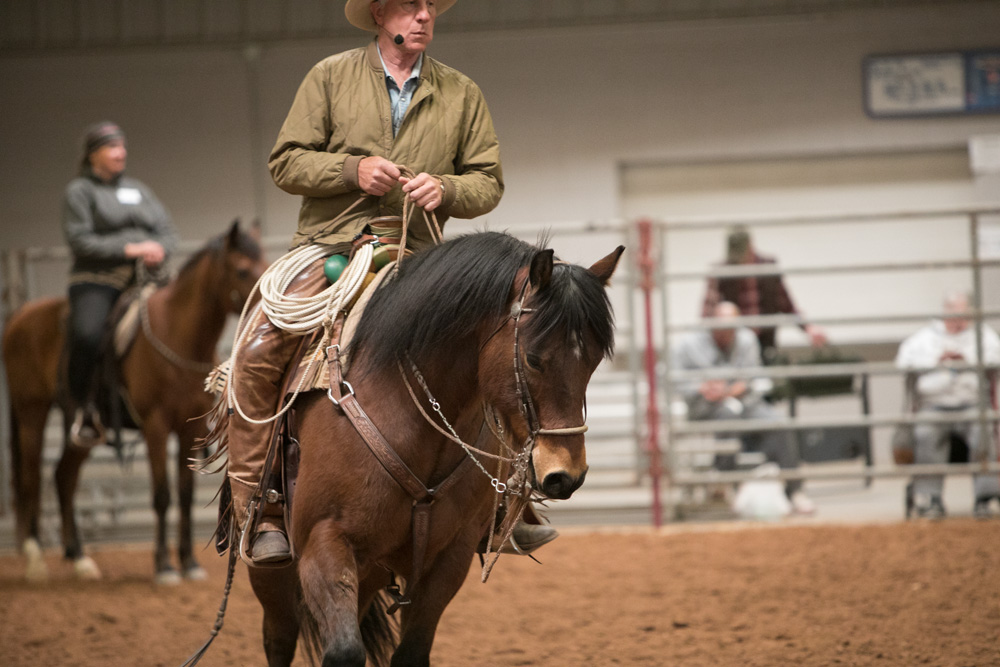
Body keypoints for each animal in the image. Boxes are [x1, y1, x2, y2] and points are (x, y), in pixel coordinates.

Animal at [2, 220, 266, 584]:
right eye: (242, 269)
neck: (177, 337)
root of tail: (20, 315)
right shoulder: (156, 426)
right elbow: (162, 495)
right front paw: (164, 566)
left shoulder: (192, 428)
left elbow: (185, 495)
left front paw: (189, 563)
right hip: (31, 413)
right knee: (31, 478)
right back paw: (36, 561)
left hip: (82, 429)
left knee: (63, 476)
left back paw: (80, 559)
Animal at [238, 231, 620, 667]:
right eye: (533, 358)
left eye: (593, 361)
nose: (567, 475)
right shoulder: (324, 543)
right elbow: (344, 651)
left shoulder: (450, 558)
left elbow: (412, 651)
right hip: (272, 577)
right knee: (279, 637)